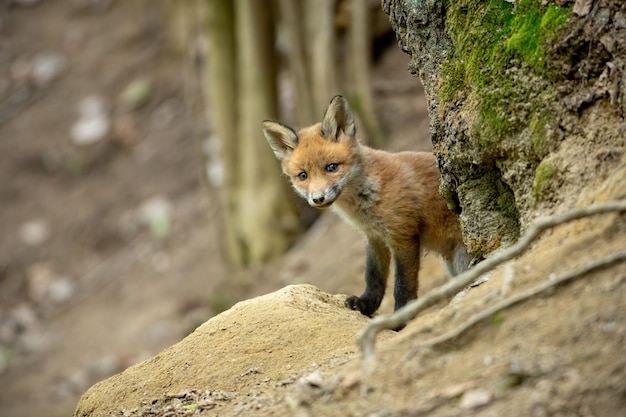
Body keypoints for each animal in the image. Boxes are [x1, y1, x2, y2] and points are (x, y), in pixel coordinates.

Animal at [260, 96, 468, 316]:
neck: (366, 203)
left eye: (331, 167)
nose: (318, 199)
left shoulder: (403, 235)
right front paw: (365, 304)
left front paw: (400, 317)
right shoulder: (374, 237)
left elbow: (402, 286)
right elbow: (373, 277)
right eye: (303, 176)